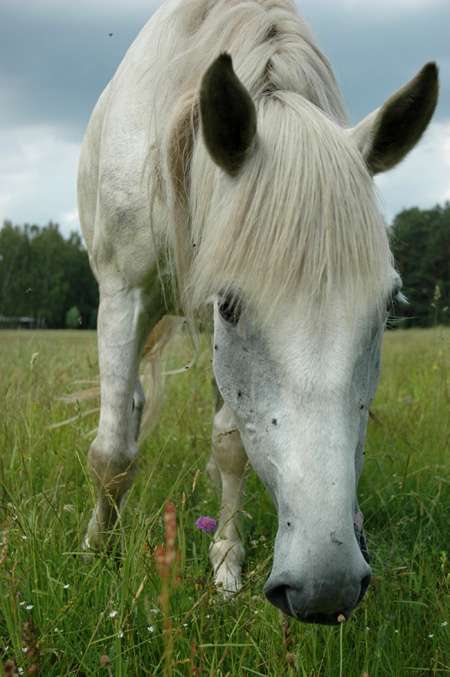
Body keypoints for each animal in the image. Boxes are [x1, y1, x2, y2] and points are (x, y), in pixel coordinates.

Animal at [77, 0, 438, 625]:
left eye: (389, 306)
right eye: (230, 304)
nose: (326, 587)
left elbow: (231, 447)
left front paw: (226, 562)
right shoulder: (124, 292)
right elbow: (113, 452)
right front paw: (96, 550)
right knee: (130, 408)